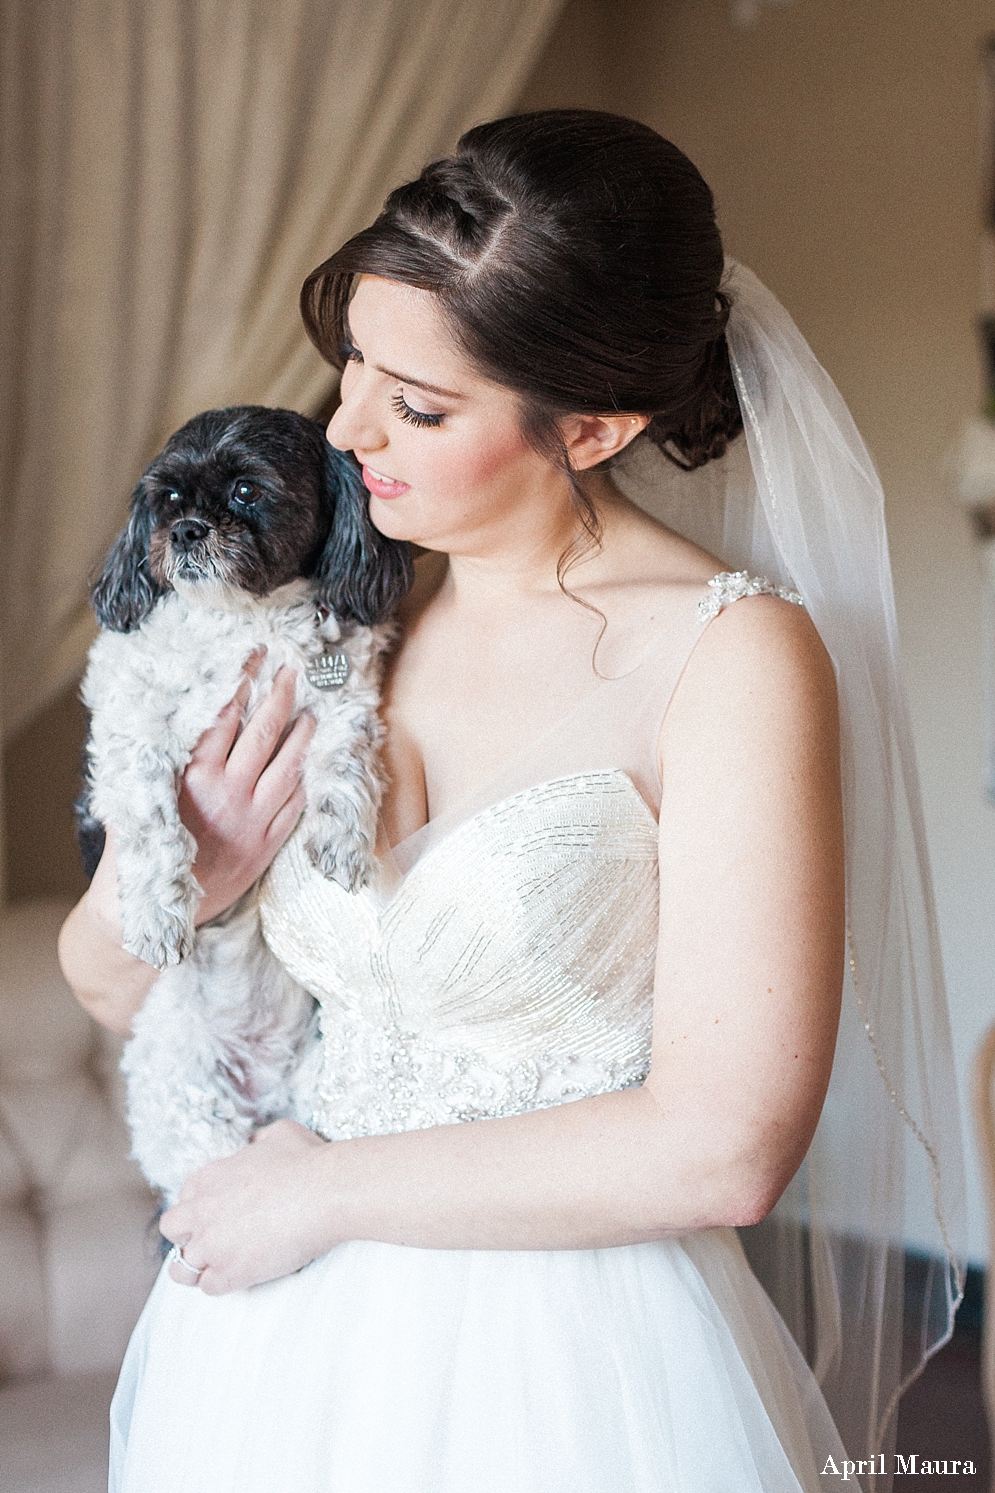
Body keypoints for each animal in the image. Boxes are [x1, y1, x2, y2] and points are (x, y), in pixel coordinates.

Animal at [76, 406, 409, 1200]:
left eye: (247, 491)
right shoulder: (131, 722)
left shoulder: (344, 697)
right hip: (186, 1108)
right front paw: (159, 914)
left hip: (316, 1080)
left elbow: (345, 763)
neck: (246, 621)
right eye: (168, 500)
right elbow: (155, 825)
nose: (189, 530)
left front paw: (342, 839)